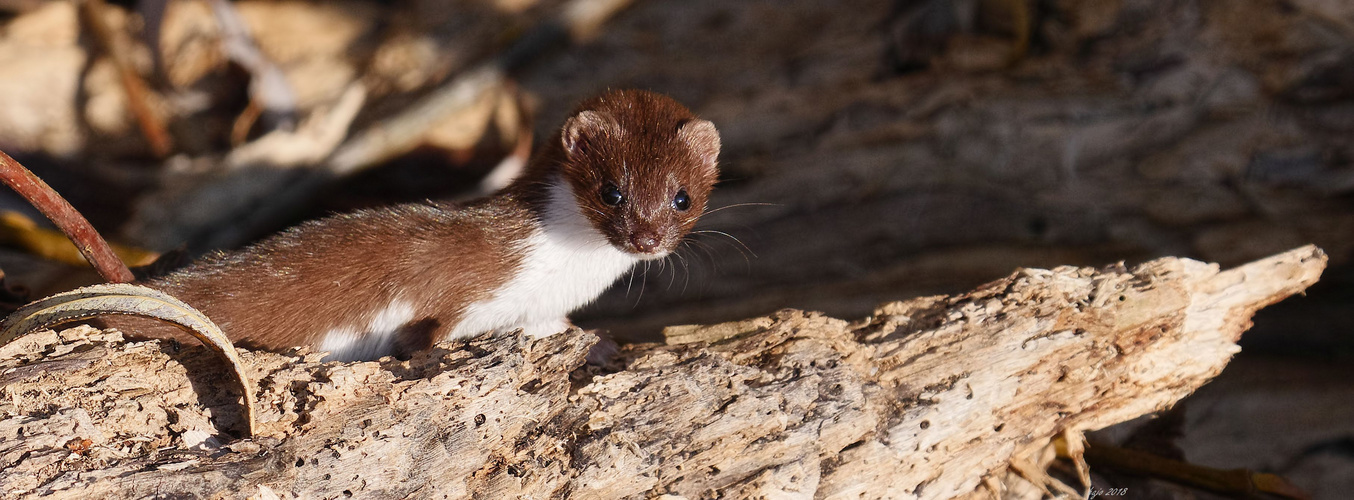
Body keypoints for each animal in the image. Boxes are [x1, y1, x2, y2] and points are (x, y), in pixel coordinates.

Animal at [132, 89, 714, 360]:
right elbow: (423, 332)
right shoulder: (456, 287)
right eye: (611, 191)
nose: (646, 239)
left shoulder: (540, 311)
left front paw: (601, 345)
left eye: (682, 197)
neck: (560, 274)